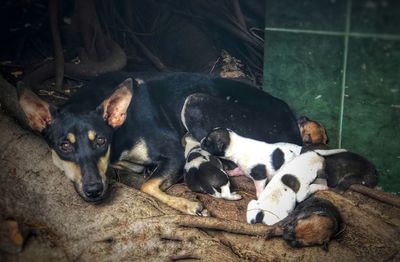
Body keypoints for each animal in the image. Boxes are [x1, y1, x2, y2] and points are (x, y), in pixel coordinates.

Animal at [17, 71, 302, 215]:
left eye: (100, 141)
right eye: (64, 146)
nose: (94, 191)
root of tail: (292, 122)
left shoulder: (174, 152)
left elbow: (148, 185)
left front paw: (189, 206)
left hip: (195, 101)